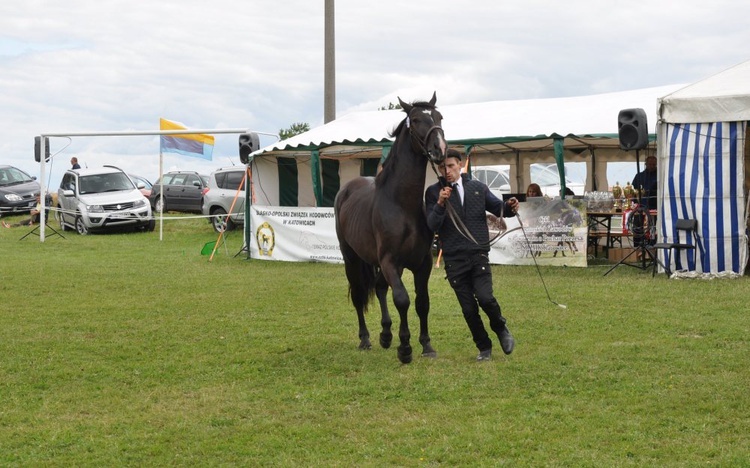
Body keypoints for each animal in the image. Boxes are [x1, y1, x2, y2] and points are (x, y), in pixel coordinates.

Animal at [334, 90, 446, 362]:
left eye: (439, 117)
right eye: (415, 120)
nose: (439, 149)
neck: (401, 204)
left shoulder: (422, 263)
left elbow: (422, 302)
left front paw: (426, 345)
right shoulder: (390, 261)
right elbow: (402, 299)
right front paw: (405, 348)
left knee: (379, 287)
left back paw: (385, 334)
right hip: (351, 258)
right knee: (359, 294)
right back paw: (365, 339)